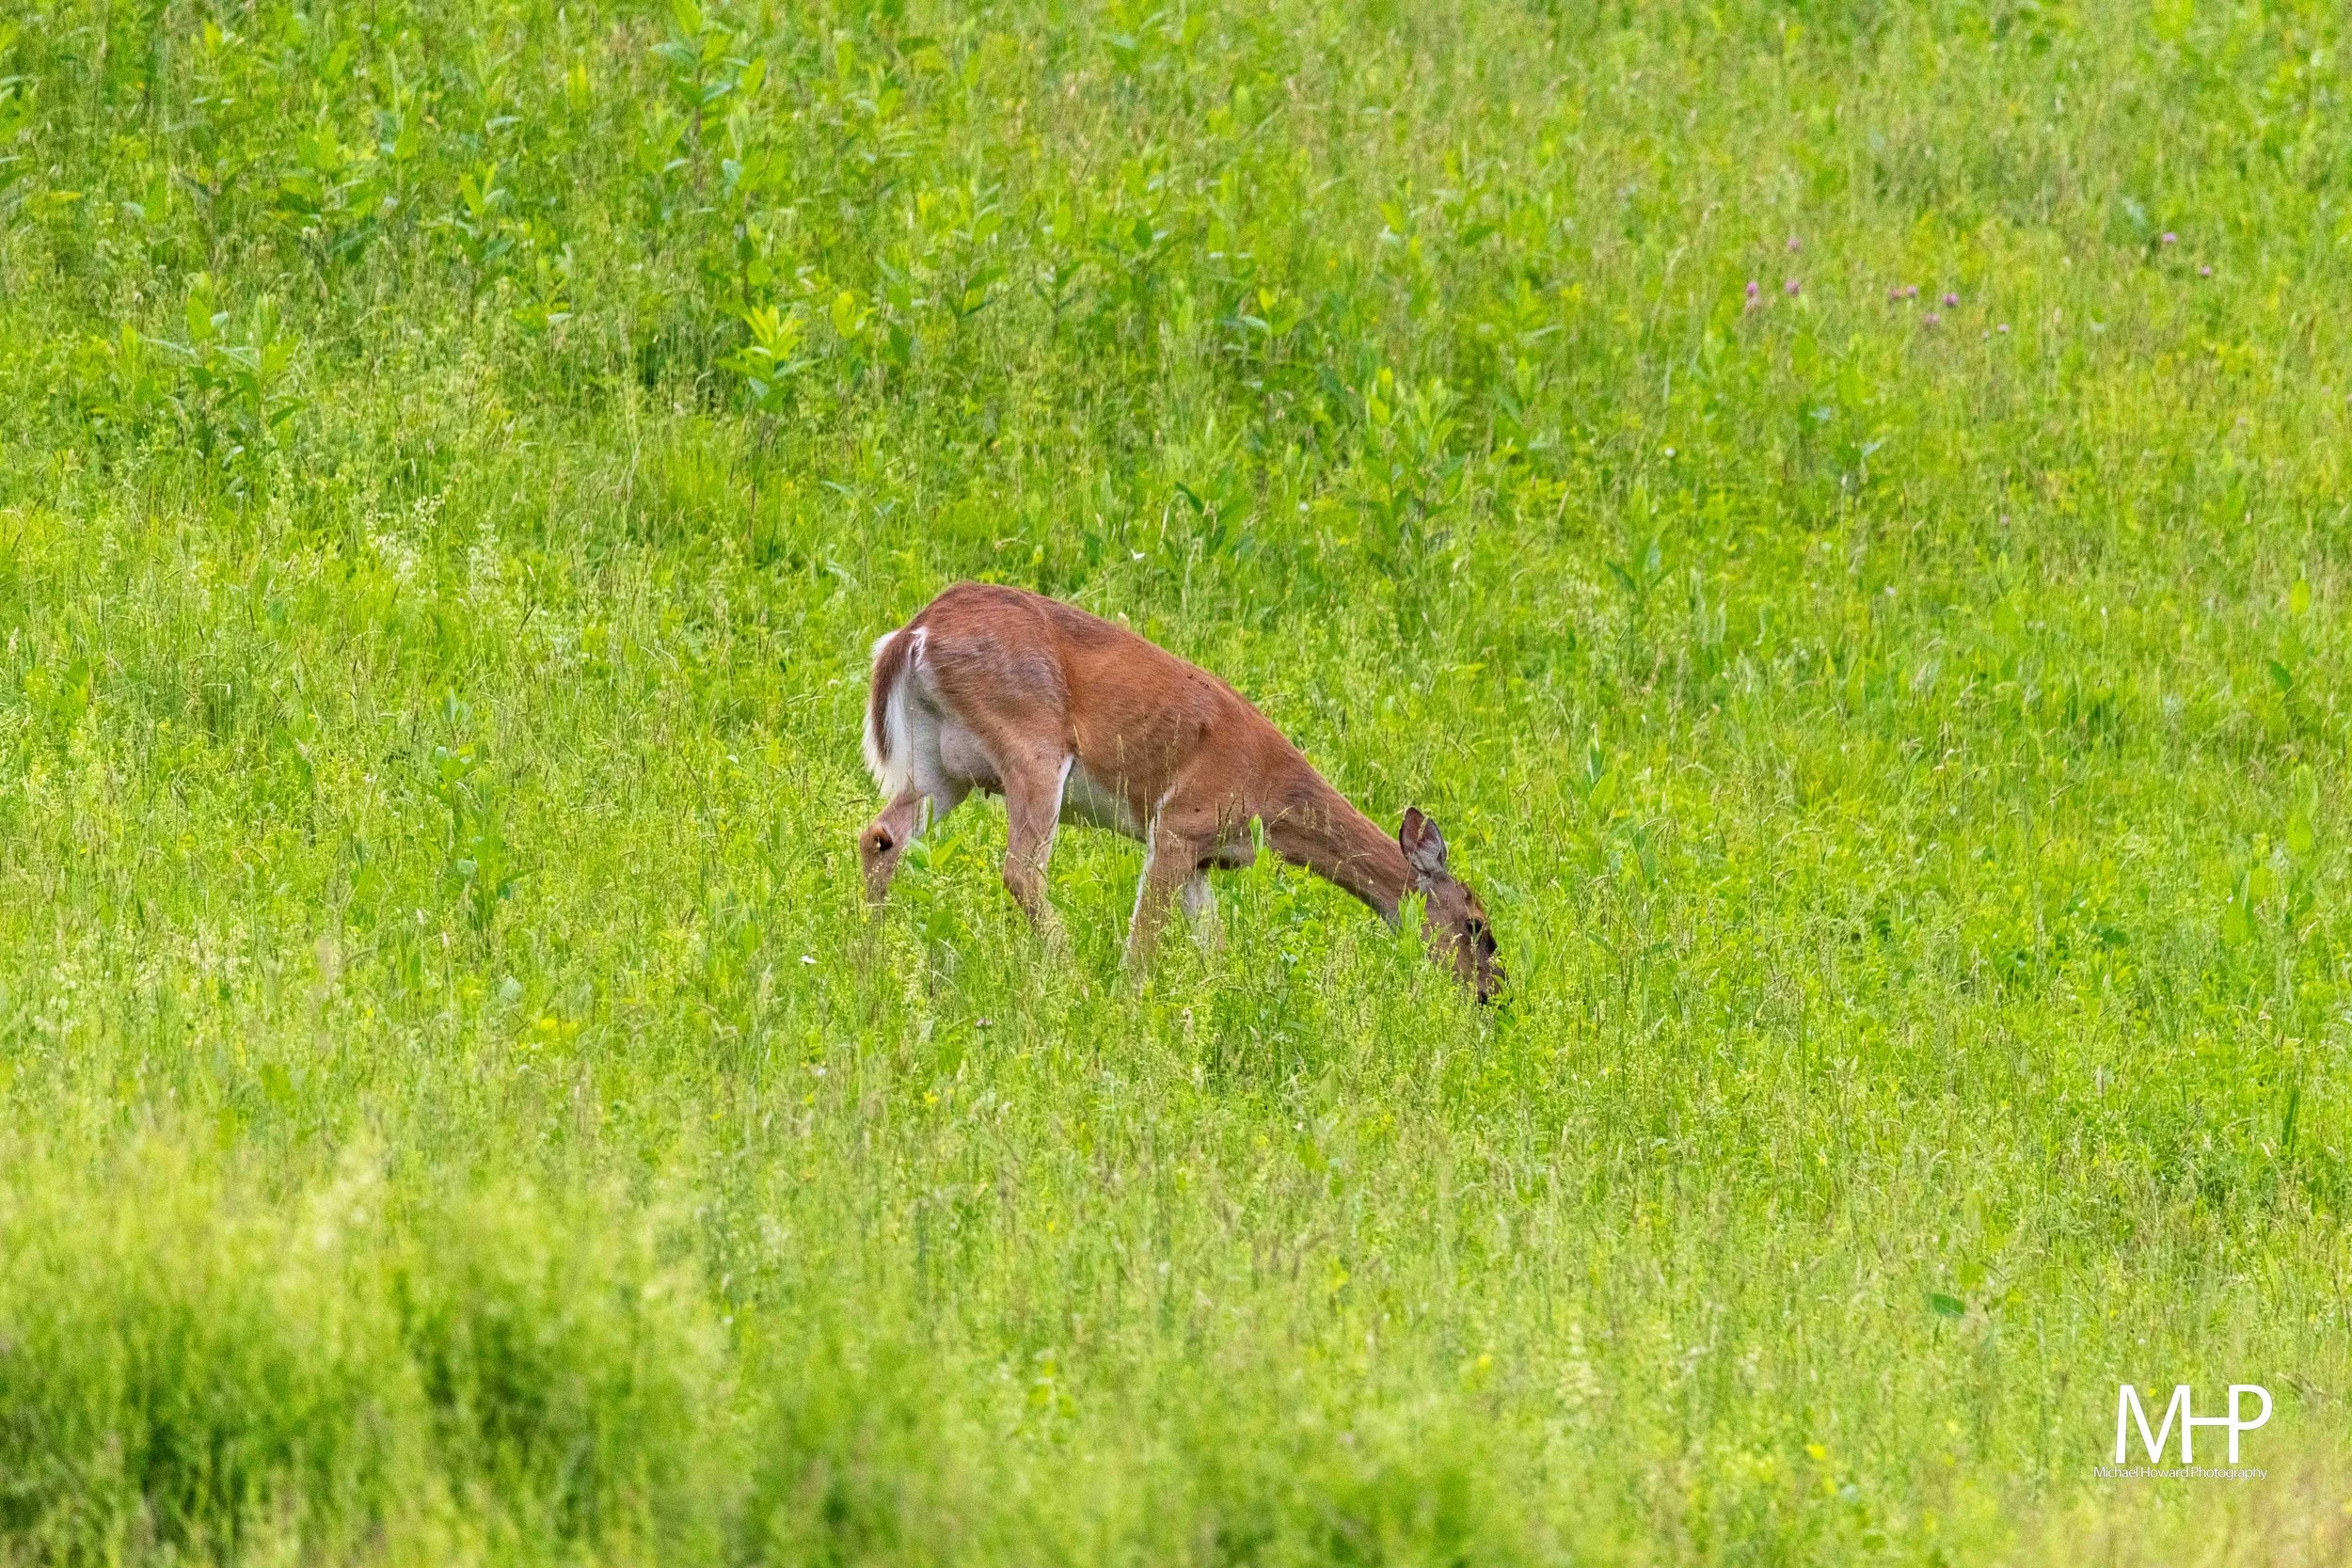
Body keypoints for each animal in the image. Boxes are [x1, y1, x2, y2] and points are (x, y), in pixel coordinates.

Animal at [856, 582, 1503, 1003]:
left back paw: (871, 960)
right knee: (1020, 870)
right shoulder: (1177, 824)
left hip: (941, 767)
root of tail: (913, 633)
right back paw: (1069, 973)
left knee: (881, 837)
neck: (1269, 796)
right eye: (1477, 927)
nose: (1490, 995)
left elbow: (1212, 942)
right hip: (1030, 745)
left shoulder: (1202, 856)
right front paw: (1128, 999)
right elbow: (1146, 936)